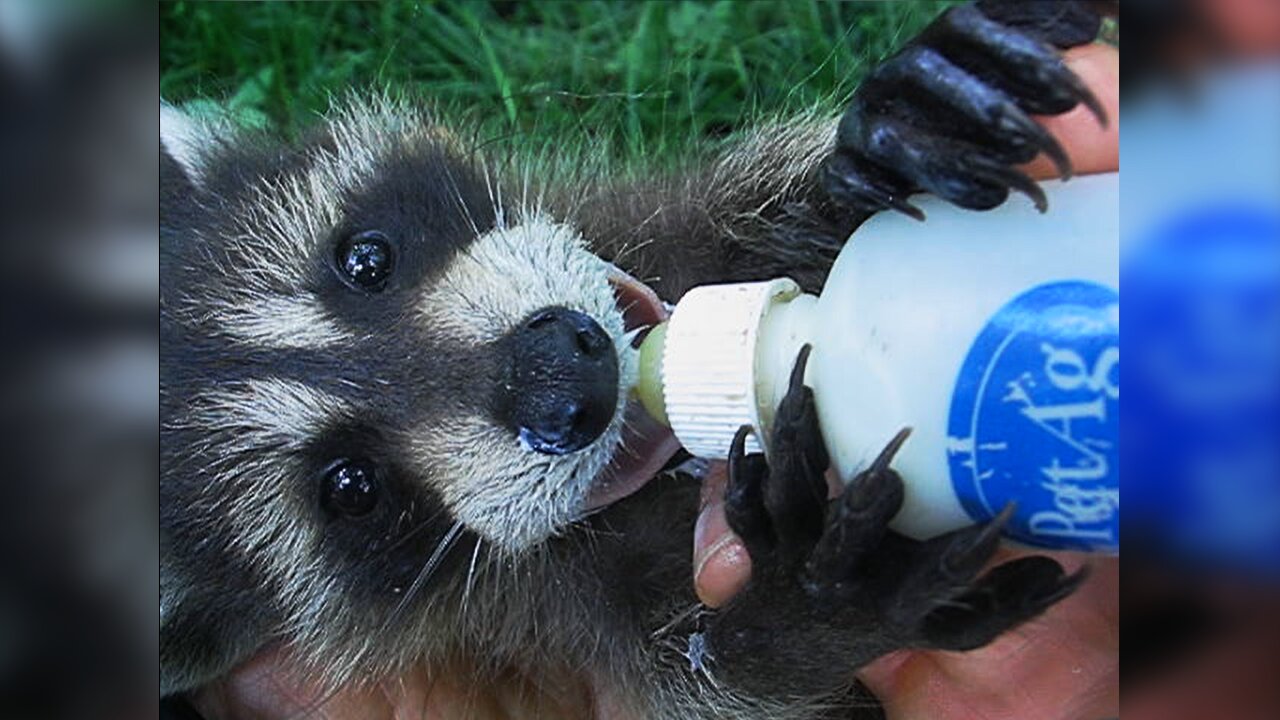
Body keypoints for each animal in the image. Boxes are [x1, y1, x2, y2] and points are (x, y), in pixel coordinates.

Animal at [162, 2, 1111, 712]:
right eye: (350, 490)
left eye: (365, 259)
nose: (569, 374)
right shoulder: (563, 628)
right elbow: (709, 689)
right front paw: (794, 616)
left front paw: (875, 147)